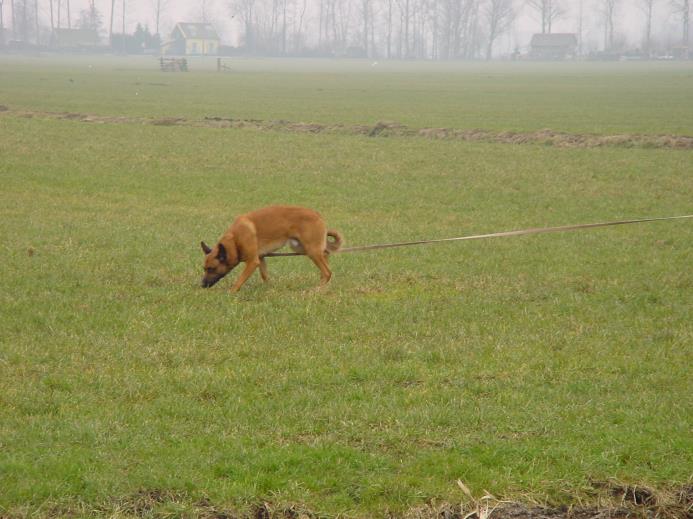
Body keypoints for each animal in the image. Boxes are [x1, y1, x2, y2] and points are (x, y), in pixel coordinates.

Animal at [199, 204, 342, 292]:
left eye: (211, 269)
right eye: (204, 269)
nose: (202, 285)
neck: (234, 240)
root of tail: (318, 215)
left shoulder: (252, 262)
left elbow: (239, 280)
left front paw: (231, 292)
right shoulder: (261, 258)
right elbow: (265, 276)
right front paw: (269, 288)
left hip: (311, 251)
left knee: (327, 271)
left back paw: (316, 289)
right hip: (303, 248)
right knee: (326, 257)